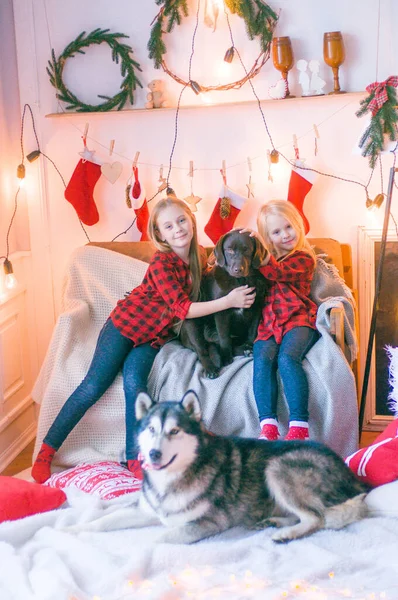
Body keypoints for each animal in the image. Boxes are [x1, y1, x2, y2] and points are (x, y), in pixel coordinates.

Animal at [69, 392, 370, 548]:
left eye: (175, 431)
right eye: (151, 429)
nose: (153, 453)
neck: (172, 479)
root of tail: (351, 475)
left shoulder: (208, 524)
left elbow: (155, 538)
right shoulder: (145, 510)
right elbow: (105, 520)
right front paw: (75, 530)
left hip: (277, 467)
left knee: (317, 517)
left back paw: (287, 533)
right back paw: (275, 521)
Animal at [180, 231, 268, 378]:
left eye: (247, 250)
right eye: (229, 250)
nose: (238, 269)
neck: (240, 281)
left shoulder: (257, 307)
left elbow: (252, 330)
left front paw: (249, 345)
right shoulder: (222, 312)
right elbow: (224, 336)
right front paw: (226, 357)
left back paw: (245, 350)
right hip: (192, 323)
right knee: (201, 350)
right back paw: (211, 368)